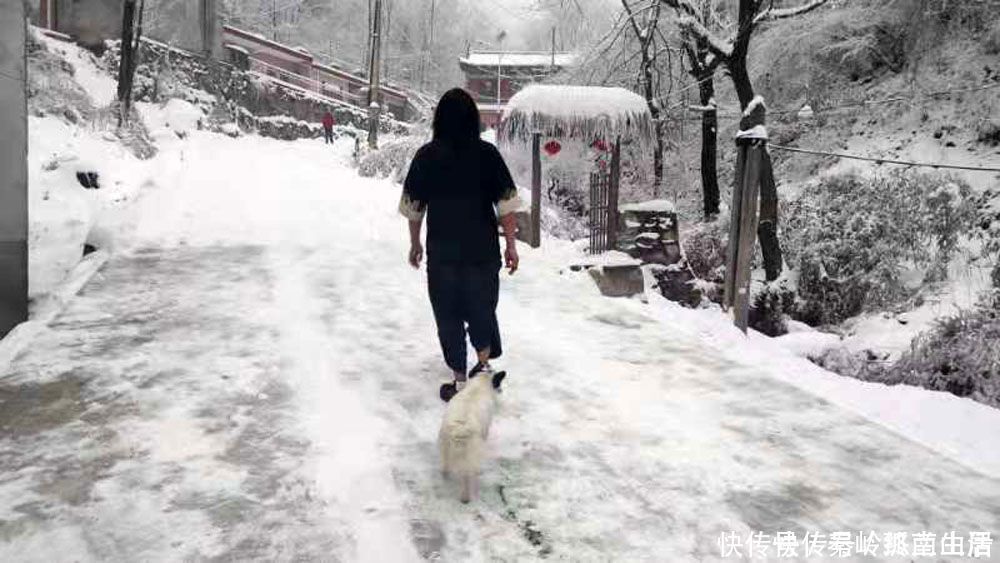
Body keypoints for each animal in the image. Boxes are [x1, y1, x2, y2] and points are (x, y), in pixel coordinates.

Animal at [440, 372, 508, 504]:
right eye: (498, 383)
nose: (501, 390)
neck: (481, 382)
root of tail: (460, 430)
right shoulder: (485, 429)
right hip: (469, 456)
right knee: (467, 477)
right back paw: (466, 498)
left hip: (445, 445)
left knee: (445, 465)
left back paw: (445, 476)